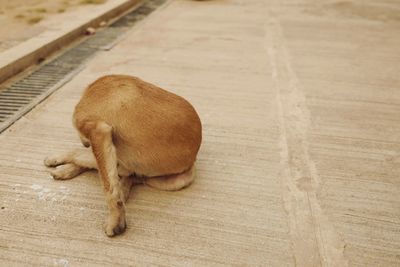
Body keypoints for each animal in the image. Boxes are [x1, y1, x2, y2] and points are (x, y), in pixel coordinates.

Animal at [44, 75, 202, 237]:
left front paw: (115, 220)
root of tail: (193, 157)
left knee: (125, 174)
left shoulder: (99, 132)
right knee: (132, 175)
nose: (85, 144)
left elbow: (109, 187)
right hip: (170, 180)